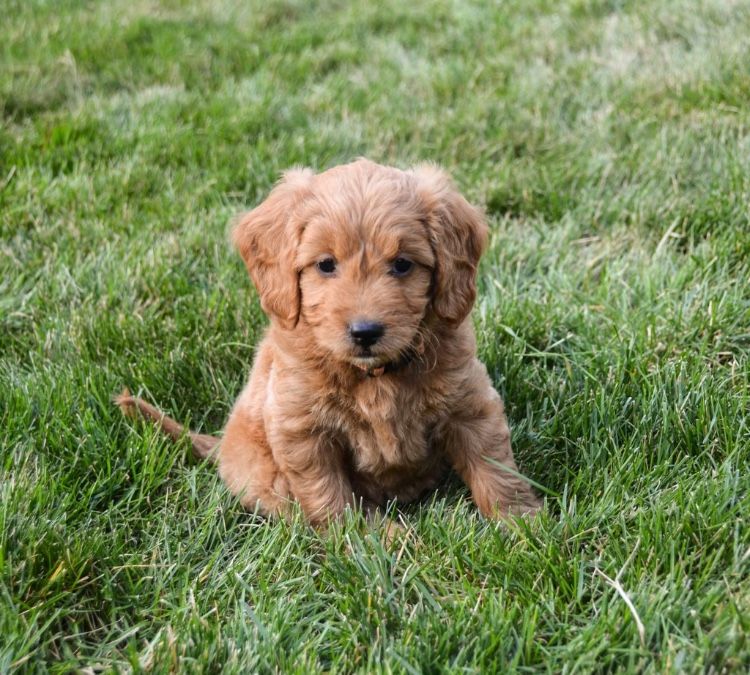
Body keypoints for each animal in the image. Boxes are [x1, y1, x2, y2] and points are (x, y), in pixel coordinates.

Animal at [117, 161, 540, 524]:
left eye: (403, 264)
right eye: (325, 264)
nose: (365, 332)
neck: (374, 376)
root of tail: (221, 446)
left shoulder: (470, 405)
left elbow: (495, 469)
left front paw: (523, 527)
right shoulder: (302, 432)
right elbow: (330, 497)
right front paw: (361, 544)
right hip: (269, 475)